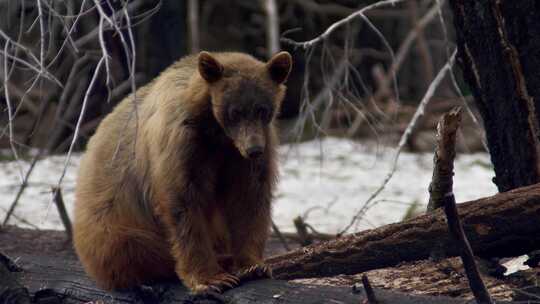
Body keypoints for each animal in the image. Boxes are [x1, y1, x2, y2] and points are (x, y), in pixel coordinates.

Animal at [73, 51, 292, 294]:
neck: (215, 131)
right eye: (235, 112)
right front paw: (211, 279)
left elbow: (248, 198)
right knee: (136, 248)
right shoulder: (182, 143)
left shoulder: (241, 154)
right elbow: (184, 203)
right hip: (113, 226)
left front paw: (253, 265)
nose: (254, 149)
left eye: (262, 109)